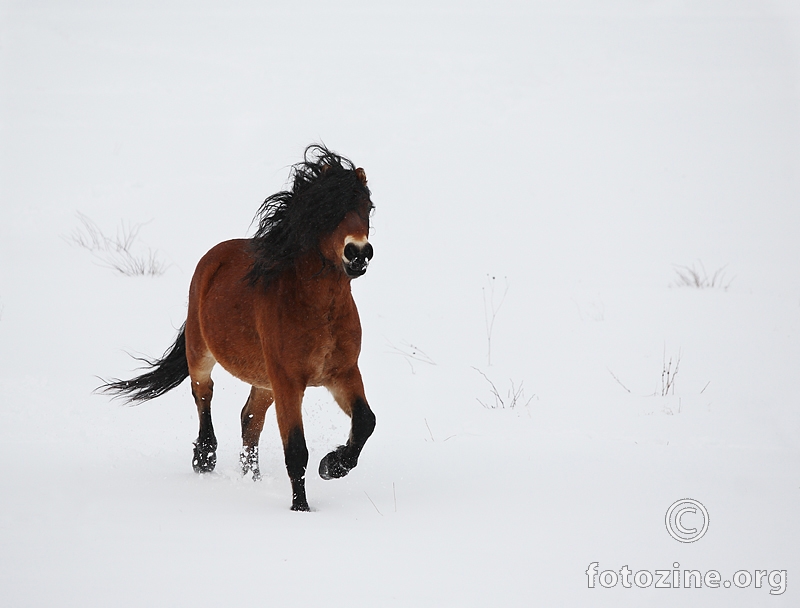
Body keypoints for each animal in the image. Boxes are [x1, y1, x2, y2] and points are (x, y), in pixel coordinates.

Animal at [101, 145, 376, 510]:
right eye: (327, 210)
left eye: (367, 207)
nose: (358, 253)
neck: (318, 310)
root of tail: (214, 257)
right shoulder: (289, 382)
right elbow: (296, 451)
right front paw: (301, 508)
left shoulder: (342, 373)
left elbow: (365, 422)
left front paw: (333, 466)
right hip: (202, 355)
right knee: (204, 395)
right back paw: (204, 459)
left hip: (264, 382)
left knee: (250, 419)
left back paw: (251, 477)